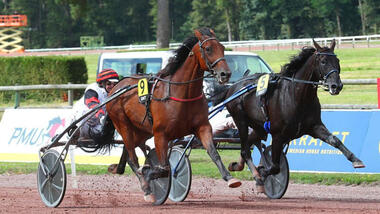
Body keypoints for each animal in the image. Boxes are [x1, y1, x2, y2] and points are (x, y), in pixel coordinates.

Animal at [104, 27, 240, 203]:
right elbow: (164, 169)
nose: (225, 74)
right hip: (123, 125)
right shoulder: (160, 134)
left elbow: (213, 153)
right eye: (208, 49)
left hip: (141, 130)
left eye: (223, 48)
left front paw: (230, 178)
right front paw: (149, 175)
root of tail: (115, 88)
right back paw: (147, 189)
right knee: (133, 159)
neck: (182, 93)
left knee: (130, 154)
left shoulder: (202, 127)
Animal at [220, 40, 366, 191]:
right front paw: (263, 173)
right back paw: (257, 177)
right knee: (245, 149)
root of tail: (232, 87)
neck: (297, 96)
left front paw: (356, 160)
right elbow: (275, 167)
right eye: (324, 61)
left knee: (248, 143)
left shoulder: (314, 127)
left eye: (337, 61)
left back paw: (237, 165)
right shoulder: (277, 135)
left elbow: (335, 140)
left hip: (259, 127)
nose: (336, 86)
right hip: (240, 120)